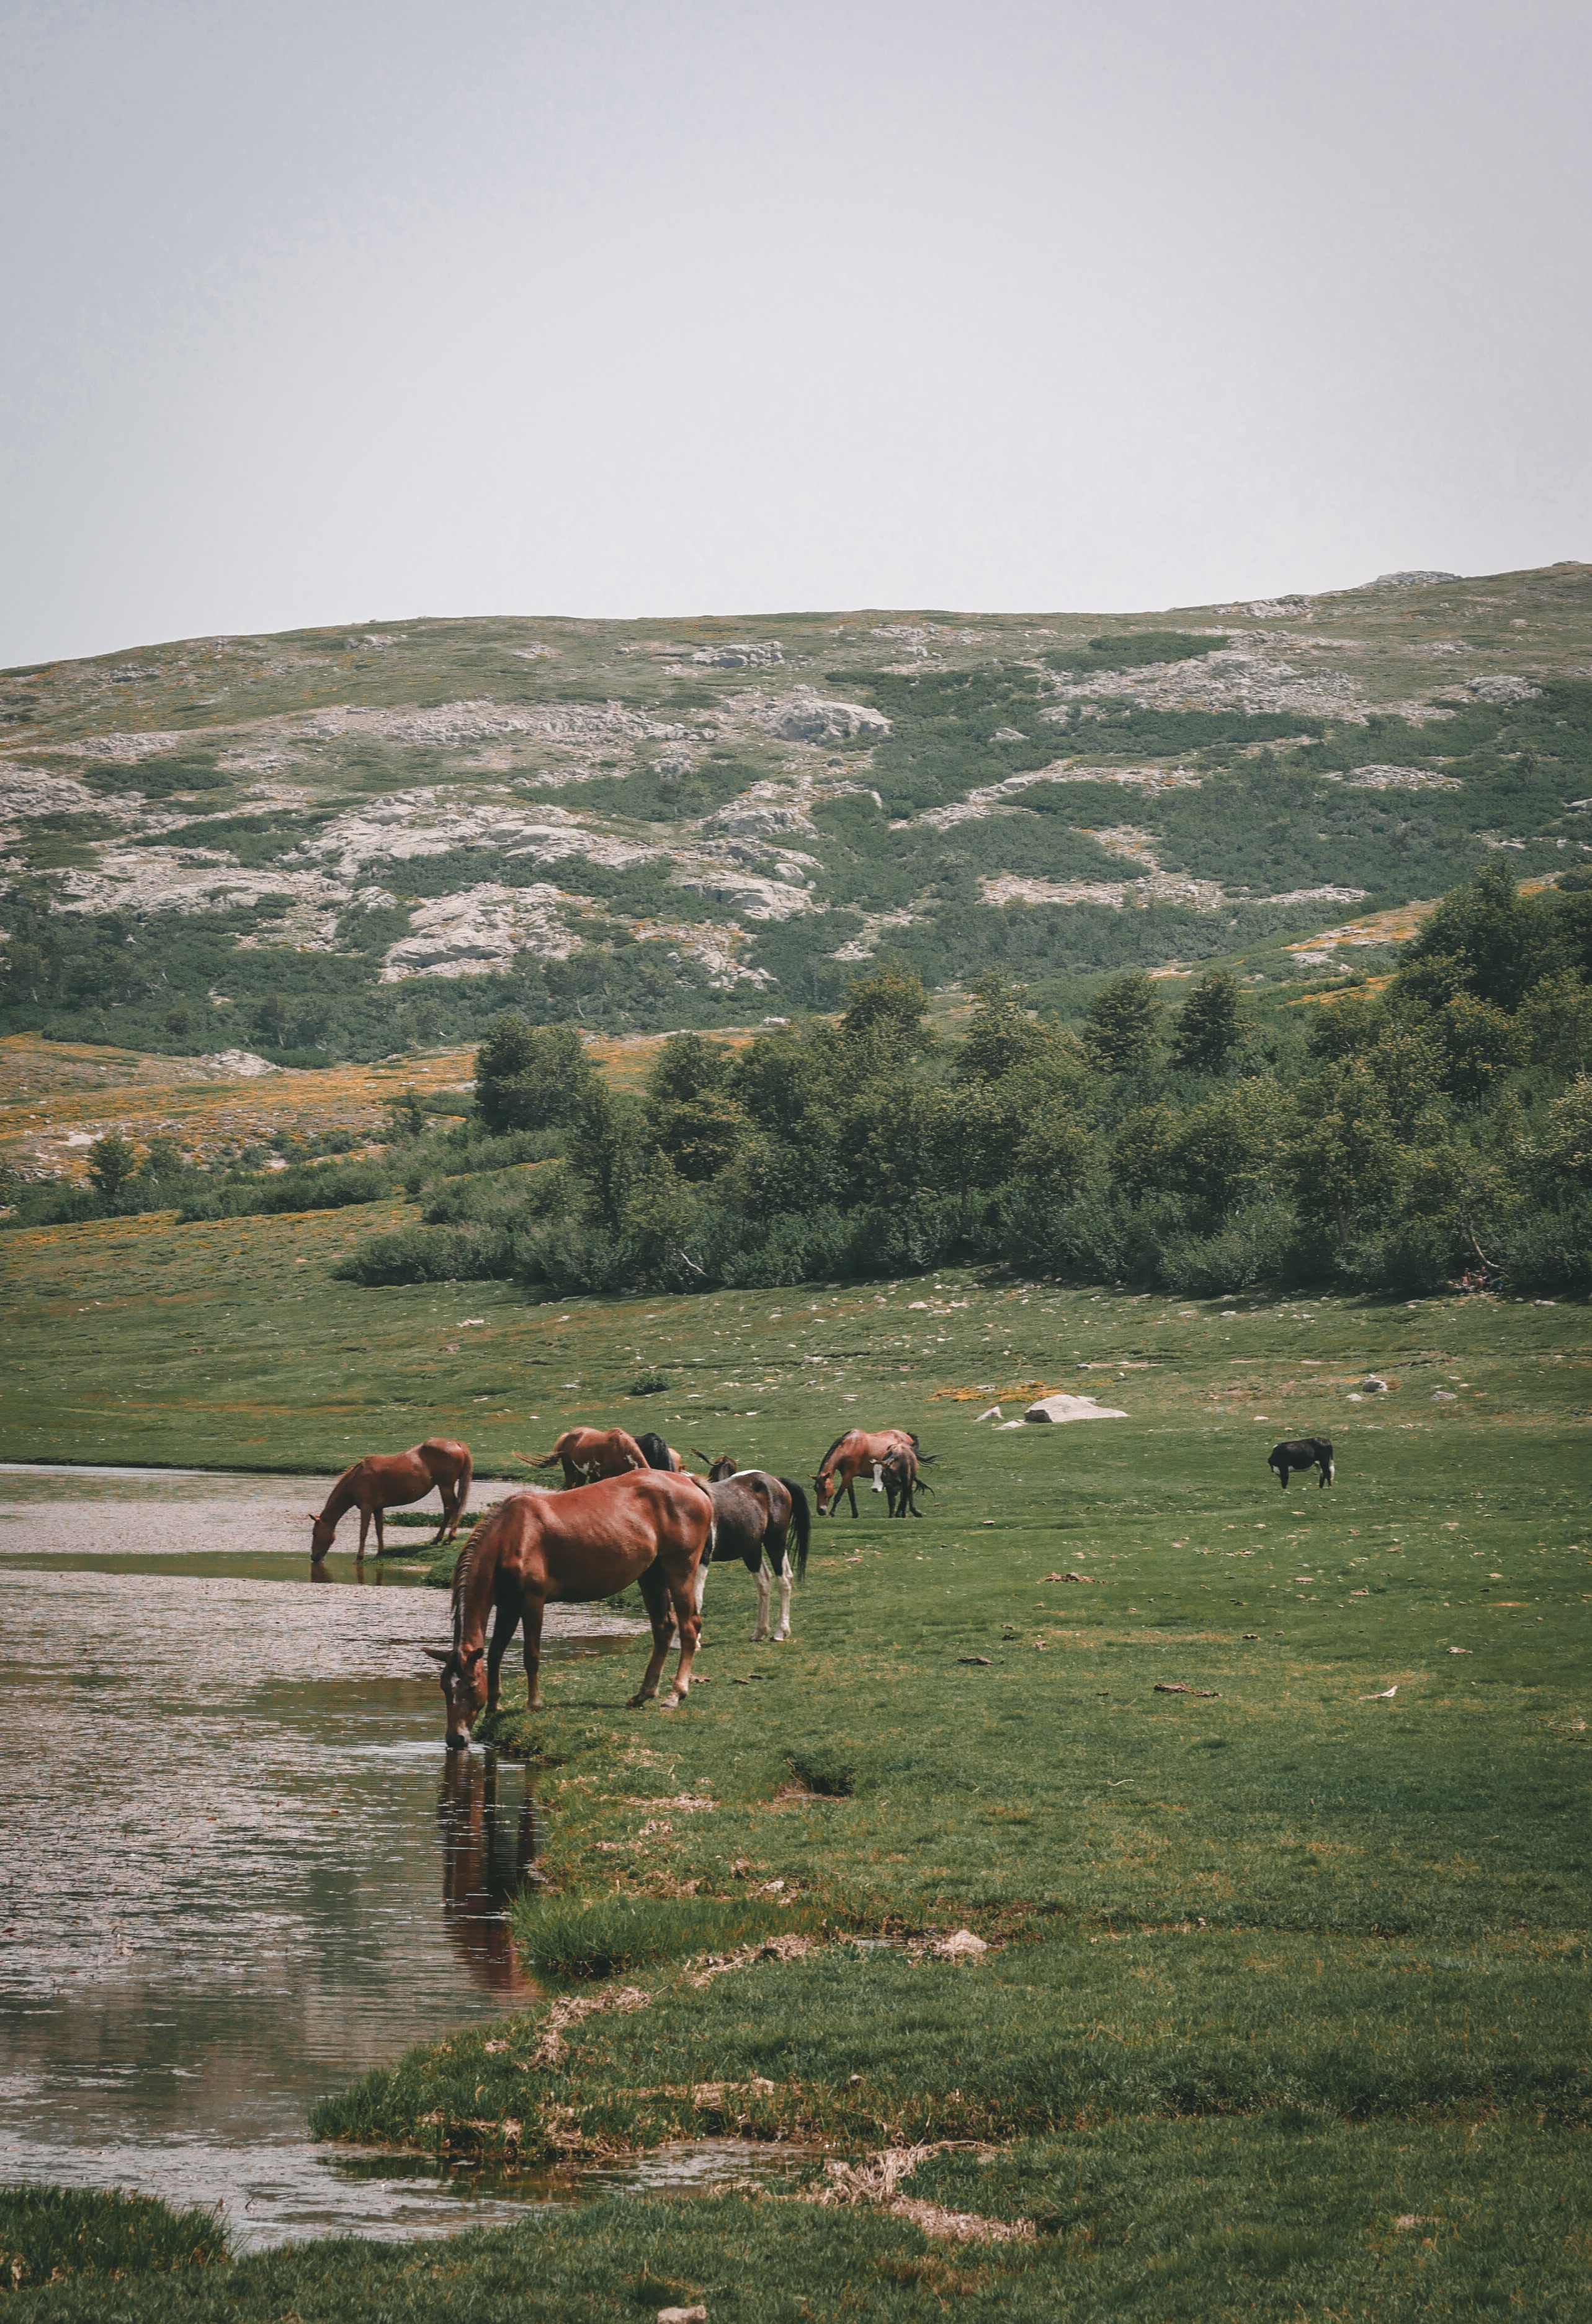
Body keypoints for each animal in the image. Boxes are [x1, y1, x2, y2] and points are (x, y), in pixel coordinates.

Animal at [306, 1431, 472, 1561]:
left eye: (314, 1533)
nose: (314, 1558)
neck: (356, 1478)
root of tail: (456, 1443)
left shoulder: (366, 1508)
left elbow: (363, 1532)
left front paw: (359, 1557)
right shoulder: (378, 1508)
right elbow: (379, 1529)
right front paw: (381, 1551)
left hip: (445, 1486)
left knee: (450, 1507)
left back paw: (447, 1538)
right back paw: (441, 1538)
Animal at [425, 1468, 715, 1747]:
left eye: (471, 1687)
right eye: (444, 1687)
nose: (455, 1738)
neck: (511, 1535)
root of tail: (692, 1483)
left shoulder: (532, 1601)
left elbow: (531, 1655)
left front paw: (533, 1704)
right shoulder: (508, 1606)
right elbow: (496, 1654)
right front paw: (493, 1708)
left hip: (679, 1570)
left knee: (689, 1627)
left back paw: (675, 1694)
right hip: (651, 1574)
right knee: (664, 1627)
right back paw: (644, 1693)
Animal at [813, 1422, 924, 1515]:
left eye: (824, 1488)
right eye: (815, 1489)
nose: (820, 1511)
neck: (849, 1447)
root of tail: (907, 1436)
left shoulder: (847, 1476)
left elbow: (838, 1495)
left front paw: (832, 1514)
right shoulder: (848, 1476)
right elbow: (851, 1496)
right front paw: (855, 1514)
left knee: (908, 1488)